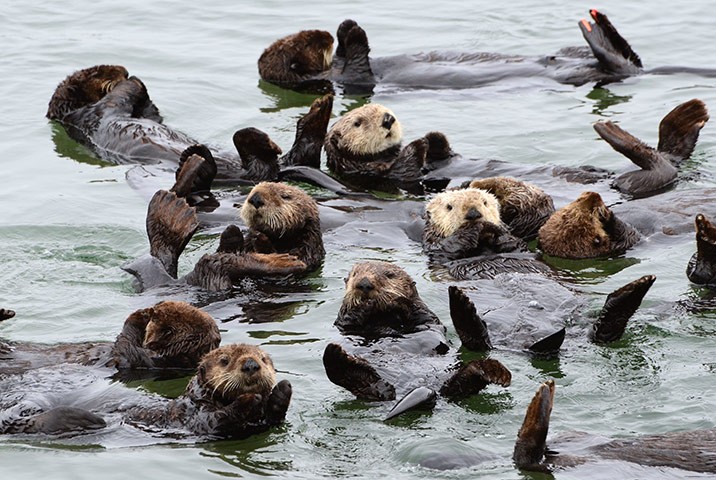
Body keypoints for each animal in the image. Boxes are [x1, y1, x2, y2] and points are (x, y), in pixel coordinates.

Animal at [0, 344, 290, 440]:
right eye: (225, 360)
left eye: (264, 359)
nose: (251, 365)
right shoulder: (195, 416)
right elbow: (215, 421)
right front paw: (249, 399)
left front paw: (282, 390)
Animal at [322, 258, 512, 416]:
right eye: (355, 274)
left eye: (389, 275)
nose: (364, 284)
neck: (383, 318)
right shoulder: (343, 323)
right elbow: (349, 321)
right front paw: (363, 305)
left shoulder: (425, 315)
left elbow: (419, 313)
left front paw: (398, 302)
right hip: (381, 386)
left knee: (477, 350)